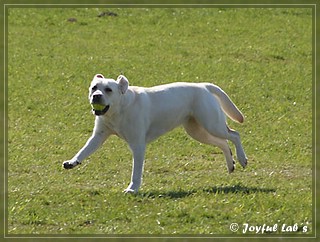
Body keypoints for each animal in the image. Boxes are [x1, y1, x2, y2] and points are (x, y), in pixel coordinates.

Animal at [63, 73, 248, 193]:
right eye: (94, 87)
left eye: (108, 90)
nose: (96, 96)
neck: (119, 110)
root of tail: (203, 85)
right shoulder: (98, 136)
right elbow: (84, 150)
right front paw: (72, 162)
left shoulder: (138, 145)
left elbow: (136, 171)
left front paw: (132, 188)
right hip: (198, 131)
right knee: (224, 143)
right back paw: (231, 164)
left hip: (212, 124)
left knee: (235, 135)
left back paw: (242, 159)